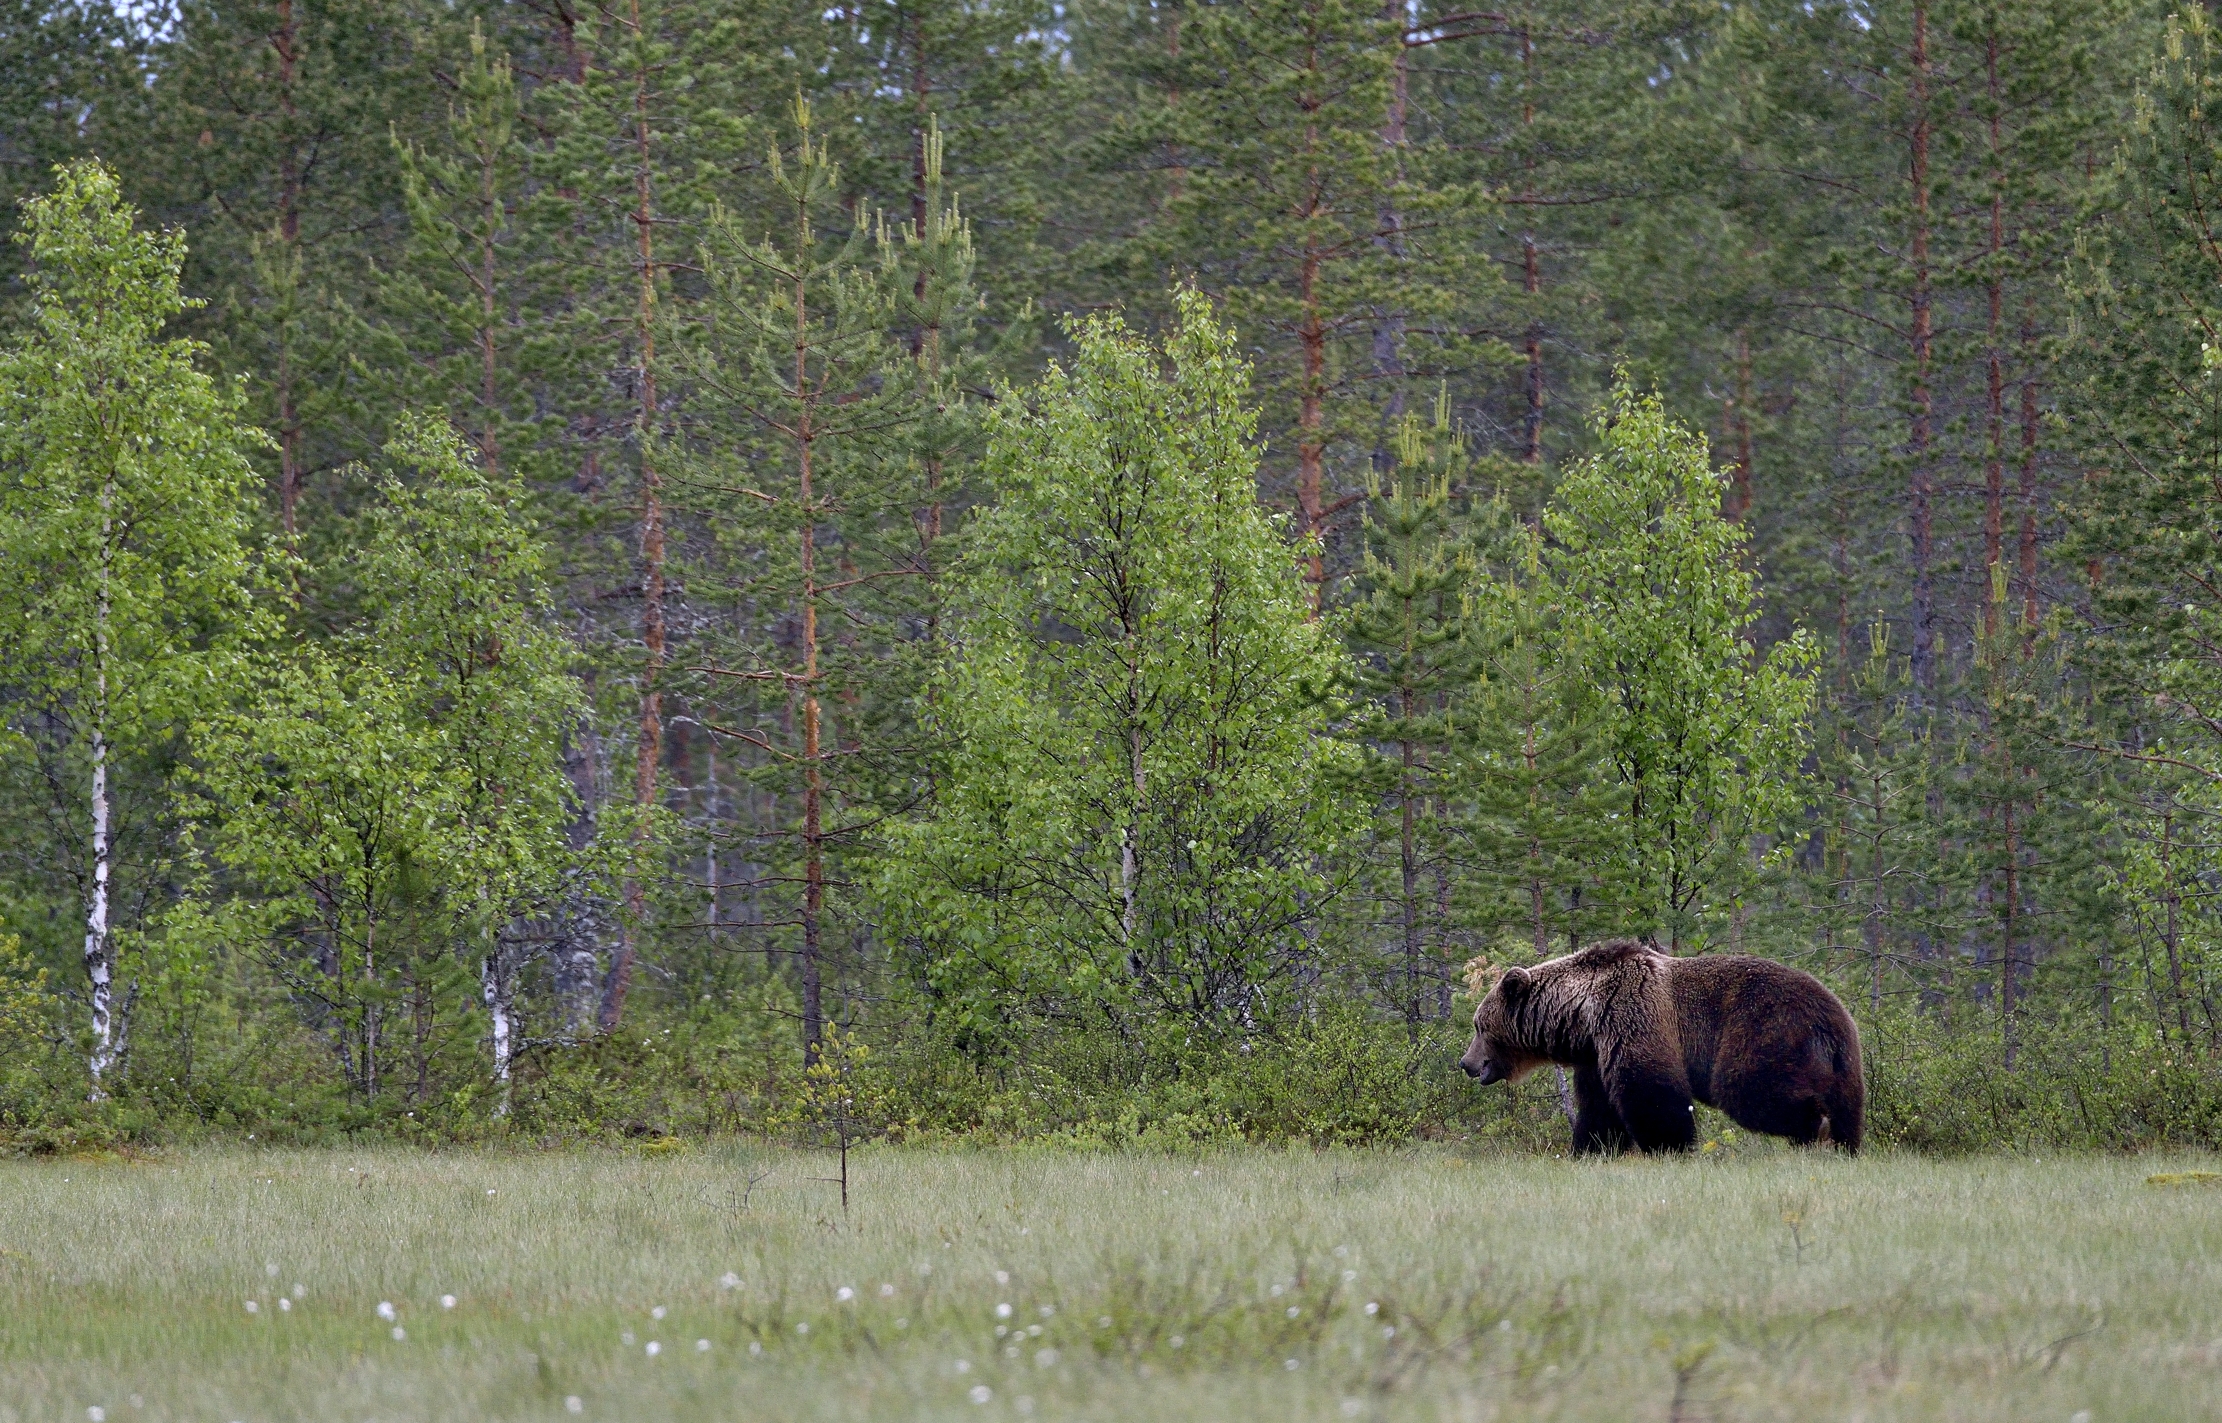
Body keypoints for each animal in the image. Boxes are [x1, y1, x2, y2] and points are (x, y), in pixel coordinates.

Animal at [1459, 939, 1864, 1154]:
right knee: (1848, 1109)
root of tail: (1831, 1017)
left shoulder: (1635, 1015)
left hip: (1762, 1030)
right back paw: (1841, 1144)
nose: (1465, 1062)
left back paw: (1812, 1129)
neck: (1583, 1014)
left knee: (1747, 1087)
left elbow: (1651, 1091)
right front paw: (1591, 1148)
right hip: (1845, 1061)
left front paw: (1669, 1146)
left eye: (1479, 1025)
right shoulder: (1596, 1055)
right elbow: (1599, 1108)